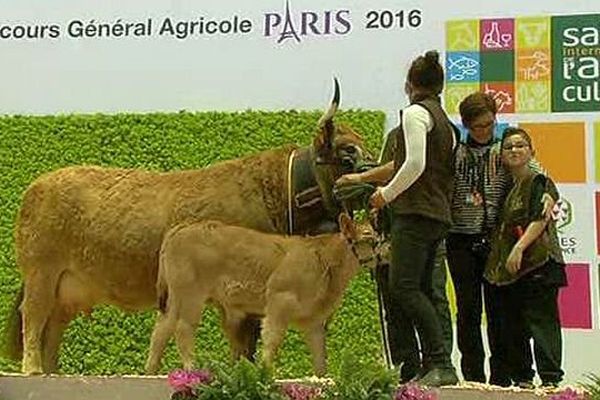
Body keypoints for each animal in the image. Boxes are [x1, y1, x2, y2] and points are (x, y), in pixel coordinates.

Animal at [144, 212, 376, 376]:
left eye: (374, 237)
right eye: (364, 239)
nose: (376, 256)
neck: (324, 260)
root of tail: (182, 227)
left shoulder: (314, 319)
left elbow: (320, 354)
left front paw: (323, 379)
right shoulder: (279, 300)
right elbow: (272, 337)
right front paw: (266, 372)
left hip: (175, 297)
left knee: (162, 328)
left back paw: (151, 371)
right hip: (191, 294)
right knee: (183, 328)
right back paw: (191, 368)